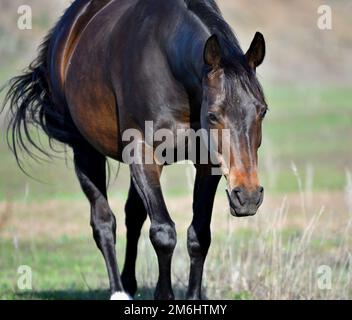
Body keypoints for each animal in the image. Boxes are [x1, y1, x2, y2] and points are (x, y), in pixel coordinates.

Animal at [1, 0, 266, 300]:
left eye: (262, 111)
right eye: (212, 115)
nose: (248, 196)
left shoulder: (207, 162)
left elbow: (199, 235)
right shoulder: (142, 152)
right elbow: (163, 233)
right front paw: (163, 296)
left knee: (134, 215)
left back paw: (128, 282)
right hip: (85, 151)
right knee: (104, 222)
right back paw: (118, 290)